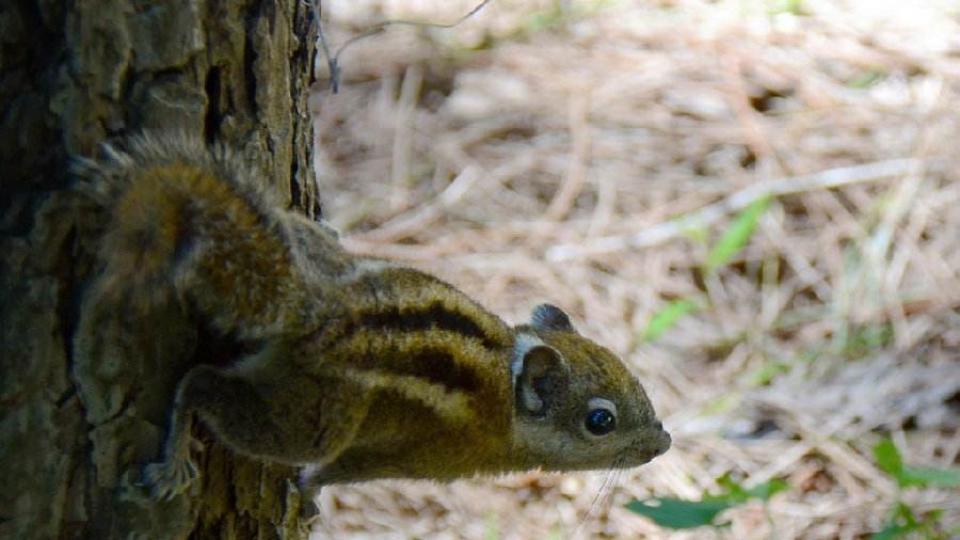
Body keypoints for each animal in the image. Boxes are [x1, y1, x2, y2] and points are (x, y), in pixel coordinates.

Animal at [79, 134, 672, 502]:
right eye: (601, 421)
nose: (662, 443)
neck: (504, 393)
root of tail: (315, 303)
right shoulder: (422, 457)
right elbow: (338, 472)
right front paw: (308, 494)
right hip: (313, 415)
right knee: (201, 385)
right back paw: (174, 459)